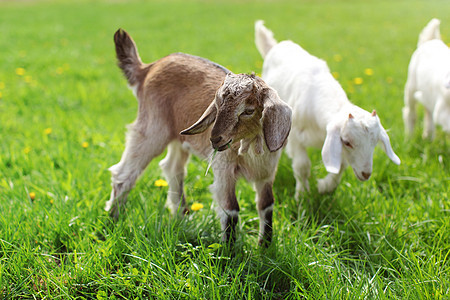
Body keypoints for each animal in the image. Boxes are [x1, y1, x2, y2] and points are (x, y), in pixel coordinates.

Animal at [105, 28, 292, 245]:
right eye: (217, 105)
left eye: (248, 110)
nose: (215, 139)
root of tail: (148, 68)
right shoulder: (223, 169)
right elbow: (230, 208)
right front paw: (229, 249)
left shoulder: (267, 173)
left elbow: (267, 205)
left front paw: (265, 246)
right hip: (152, 129)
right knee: (123, 174)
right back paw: (113, 220)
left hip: (178, 138)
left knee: (172, 168)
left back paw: (181, 216)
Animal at [253, 20, 400, 197]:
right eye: (347, 142)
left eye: (375, 142)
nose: (366, 174)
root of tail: (275, 46)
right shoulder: (296, 135)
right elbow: (302, 166)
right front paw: (302, 194)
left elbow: (340, 167)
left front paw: (325, 187)